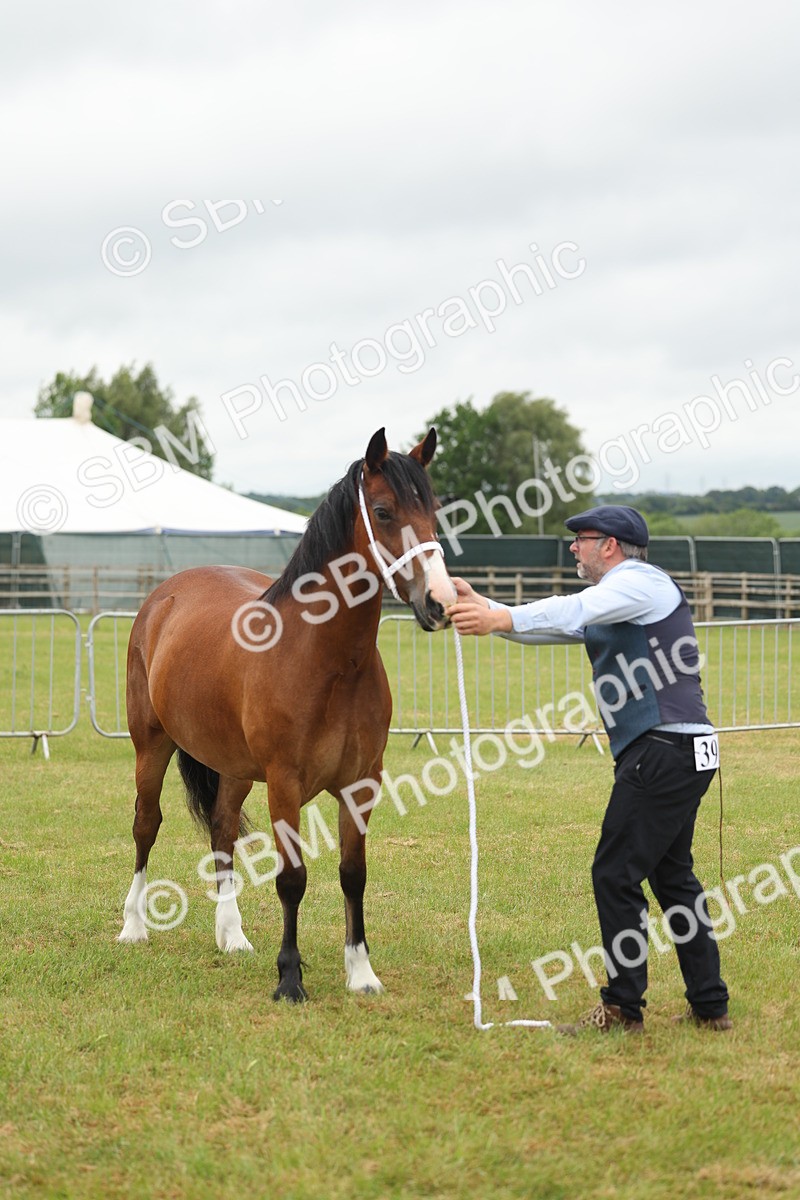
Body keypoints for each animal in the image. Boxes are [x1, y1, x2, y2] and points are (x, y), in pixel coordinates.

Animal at [118, 427, 453, 1001]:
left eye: (431, 509)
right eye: (383, 511)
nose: (438, 603)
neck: (327, 659)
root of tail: (164, 595)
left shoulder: (362, 783)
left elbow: (353, 874)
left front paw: (361, 973)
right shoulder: (285, 783)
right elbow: (292, 879)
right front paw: (290, 979)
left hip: (232, 767)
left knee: (222, 829)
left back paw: (232, 936)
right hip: (152, 744)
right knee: (147, 824)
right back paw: (134, 926)